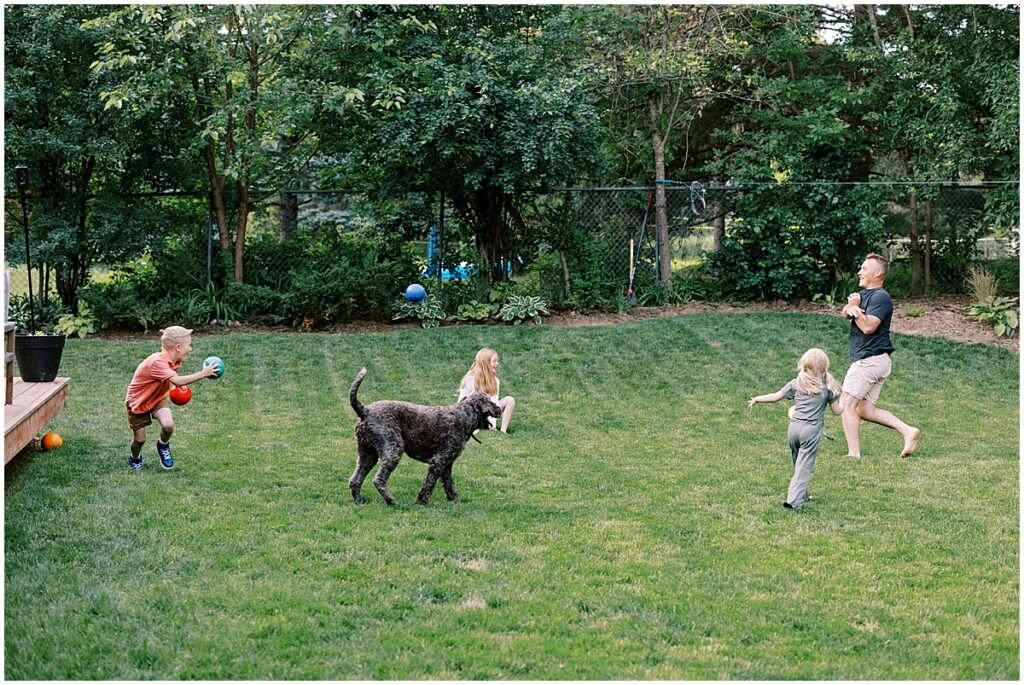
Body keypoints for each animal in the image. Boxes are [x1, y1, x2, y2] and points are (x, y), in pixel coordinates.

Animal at [348, 368, 499, 501]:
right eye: (491, 401)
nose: (499, 409)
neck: (465, 415)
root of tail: (365, 411)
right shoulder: (438, 461)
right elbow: (429, 484)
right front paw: (422, 502)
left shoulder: (447, 464)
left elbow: (449, 485)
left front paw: (454, 501)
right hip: (393, 450)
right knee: (378, 480)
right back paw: (391, 501)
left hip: (367, 455)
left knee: (355, 480)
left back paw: (360, 501)